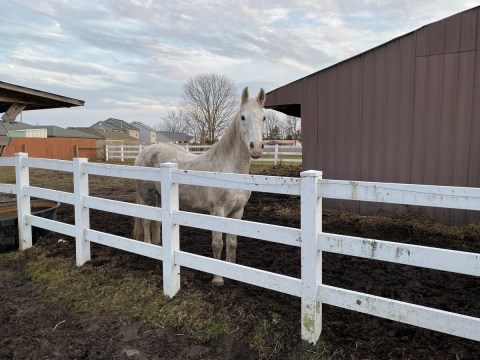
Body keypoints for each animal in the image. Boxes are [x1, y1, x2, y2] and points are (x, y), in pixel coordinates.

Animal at [132, 87, 266, 284]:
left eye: (263, 118)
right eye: (243, 117)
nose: (256, 147)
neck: (229, 170)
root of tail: (145, 151)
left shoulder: (237, 211)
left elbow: (232, 243)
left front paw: (231, 272)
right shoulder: (217, 211)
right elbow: (218, 244)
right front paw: (218, 278)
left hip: (159, 196)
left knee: (156, 222)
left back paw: (158, 247)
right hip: (146, 196)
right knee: (147, 221)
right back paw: (149, 249)